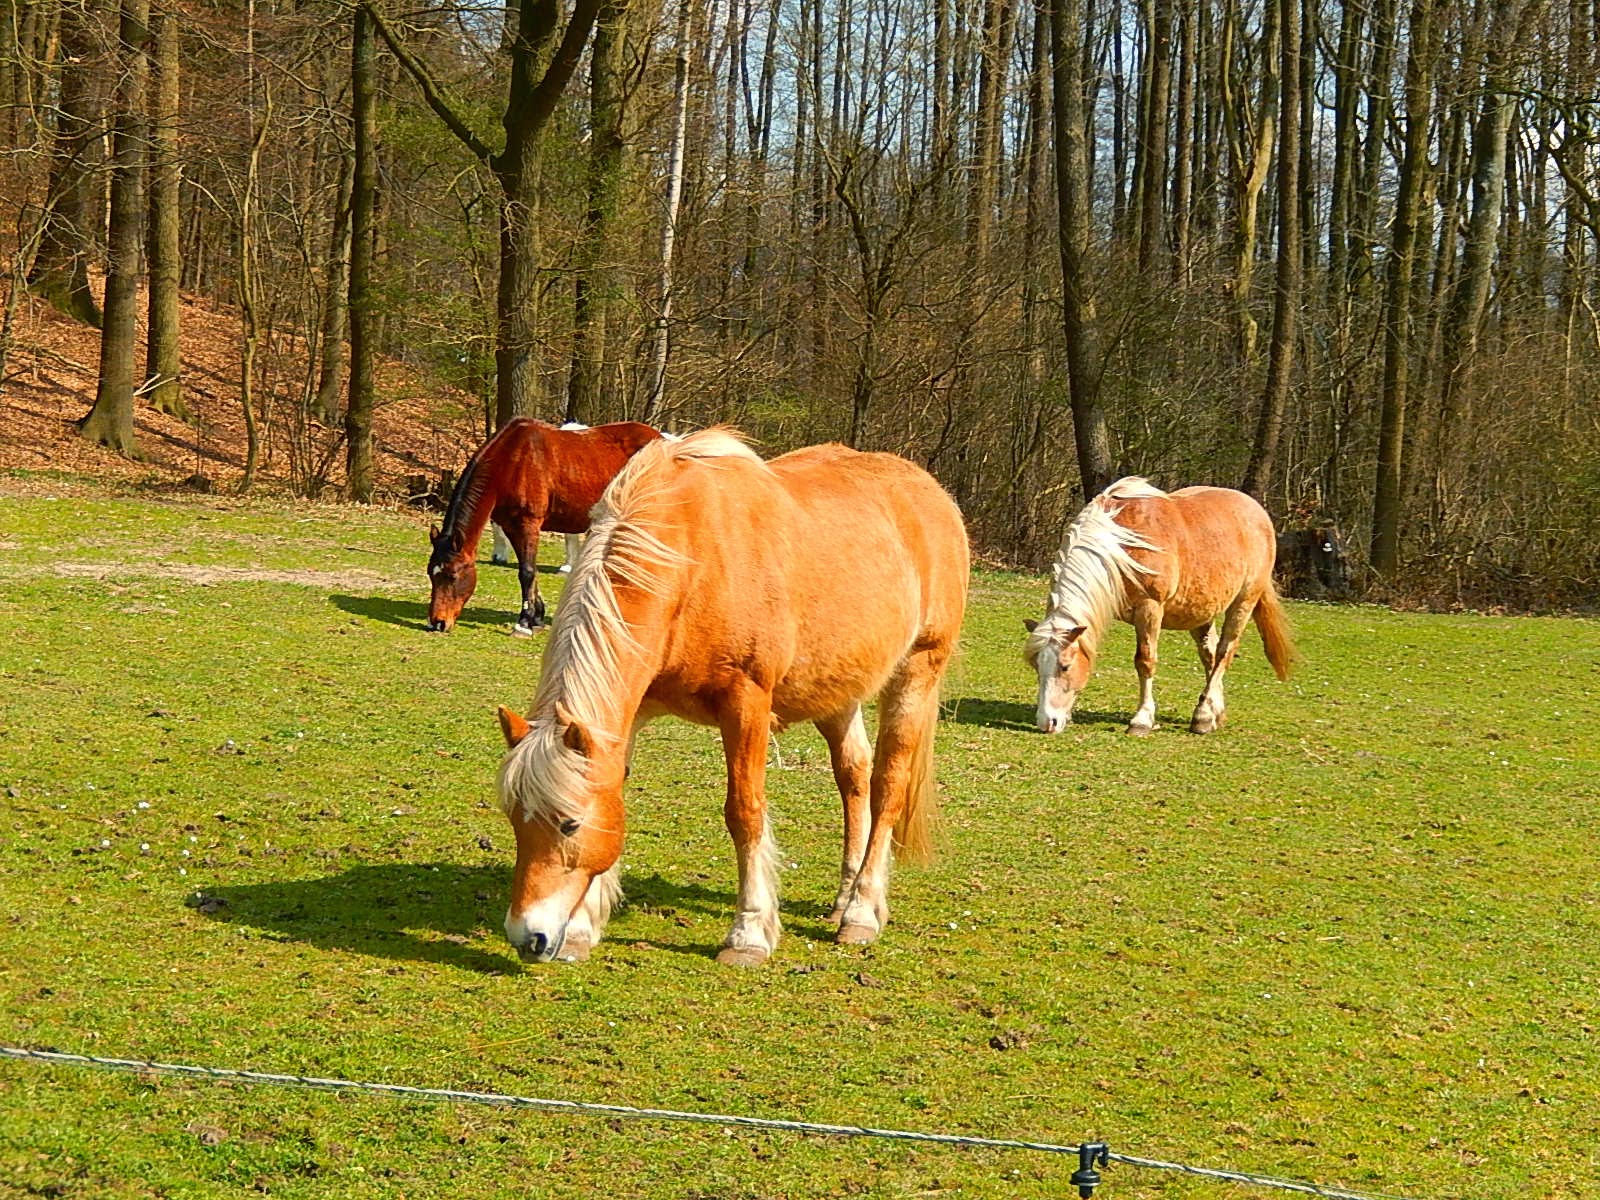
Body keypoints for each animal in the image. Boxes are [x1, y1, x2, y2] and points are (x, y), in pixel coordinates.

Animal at [426, 418, 662, 634]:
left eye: (453, 576)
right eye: (431, 574)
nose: (437, 622)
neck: (509, 463)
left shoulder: (528, 524)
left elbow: (527, 572)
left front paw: (523, 623)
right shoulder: (512, 526)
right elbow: (530, 569)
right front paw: (536, 618)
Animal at [491, 429, 969, 967]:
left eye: (569, 825)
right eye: (515, 820)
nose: (528, 936)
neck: (689, 563)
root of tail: (931, 494)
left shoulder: (746, 704)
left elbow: (745, 813)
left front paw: (749, 934)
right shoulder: (631, 713)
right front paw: (579, 930)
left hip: (916, 674)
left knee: (888, 786)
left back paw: (861, 912)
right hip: (838, 693)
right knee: (855, 777)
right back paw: (844, 898)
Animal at [1023, 477, 1295, 736]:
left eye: (1065, 666)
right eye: (1036, 666)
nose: (1047, 722)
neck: (1120, 546)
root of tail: (1258, 512)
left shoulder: (1150, 608)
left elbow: (1145, 660)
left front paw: (1141, 720)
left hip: (1244, 602)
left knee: (1224, 652)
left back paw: (1202, 716)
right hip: (1200, 610)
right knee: (1209, 654)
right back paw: (1212, 713)